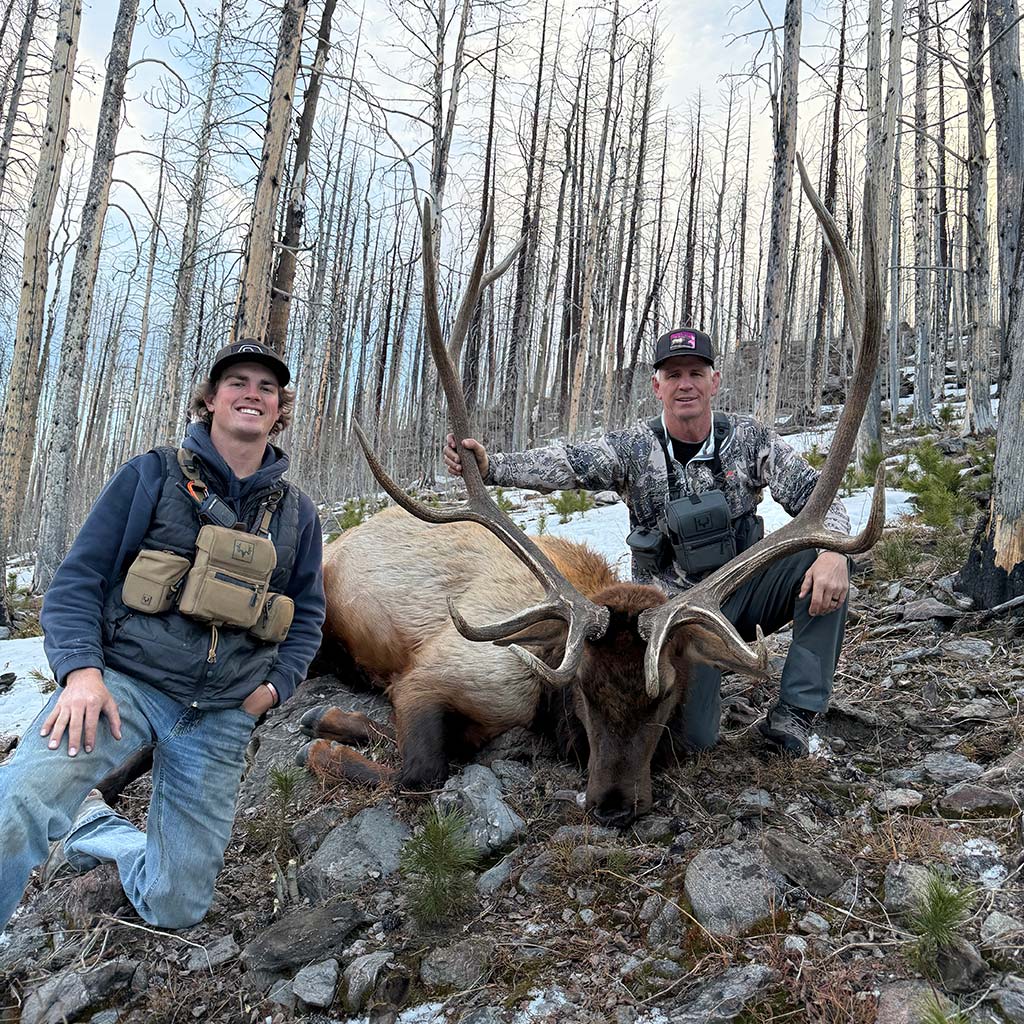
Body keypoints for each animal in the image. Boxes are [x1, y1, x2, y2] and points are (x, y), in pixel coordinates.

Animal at [300, 165, 885, 828]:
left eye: (667, 696)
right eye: (582, 687)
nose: (612, 806)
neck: (544, 705)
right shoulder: (448, 673)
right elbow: (417, 772)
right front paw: (327, 734)